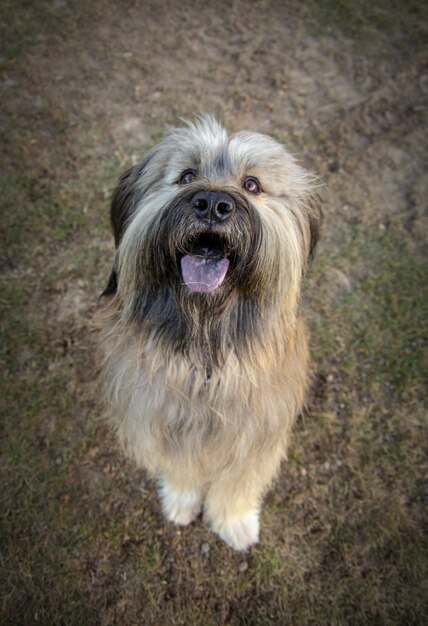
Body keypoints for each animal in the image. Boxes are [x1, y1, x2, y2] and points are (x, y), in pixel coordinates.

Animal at [96, 116, 318, 544]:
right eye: (186, 176)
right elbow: (182, 467)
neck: (205, 346)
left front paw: (233, 522)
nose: (213, 205)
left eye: (252, 184)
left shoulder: (255, 432)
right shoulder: (165, 419)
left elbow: (238, 481)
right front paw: (182, 501)